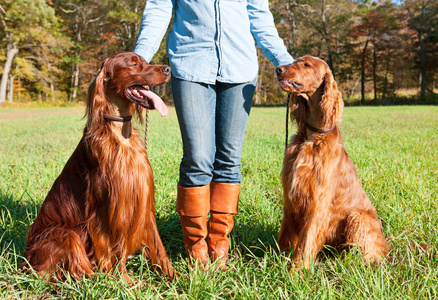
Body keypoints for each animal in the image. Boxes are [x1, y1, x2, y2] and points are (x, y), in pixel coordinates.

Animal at [24, 52, 174, 282]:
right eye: (133, 64)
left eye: (145, 61)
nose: (168, 69)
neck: (121, 134)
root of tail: (26, 257)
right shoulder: (109, 207)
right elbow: (114, 248)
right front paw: (124, 281)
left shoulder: (143, 199)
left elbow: (158, 246)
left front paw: (176, 276)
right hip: (65, 234)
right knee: (66, 271)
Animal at [276, 55, 388, 268]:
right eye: (294, 61)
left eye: (306, 64)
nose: (278, 69)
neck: (313, 136)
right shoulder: (291, 197)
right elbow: (284, 236)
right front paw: (274, 260)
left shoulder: (318, 202)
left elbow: (306, 241)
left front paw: (297, 269)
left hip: (358, 217)